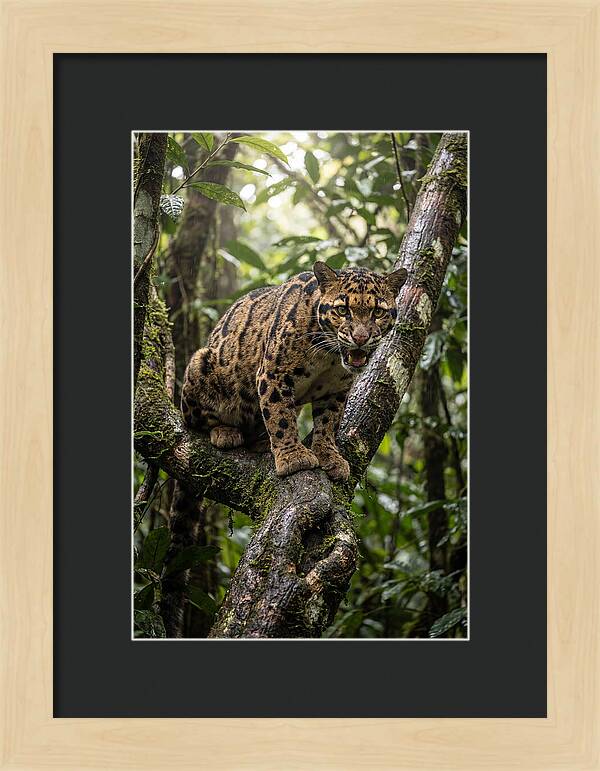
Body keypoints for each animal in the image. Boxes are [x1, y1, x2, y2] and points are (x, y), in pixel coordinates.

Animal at [181, 261, 408, 480]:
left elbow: (328, 423)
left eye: (378, 312)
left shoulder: (336, 390)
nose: (360, 338)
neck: (329, 356)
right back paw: (225, 431)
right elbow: (280, 416)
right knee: (196, 421)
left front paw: (329, 455)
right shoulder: (273, 374)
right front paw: (293, 457)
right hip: (200, 362)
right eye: (343, 310)